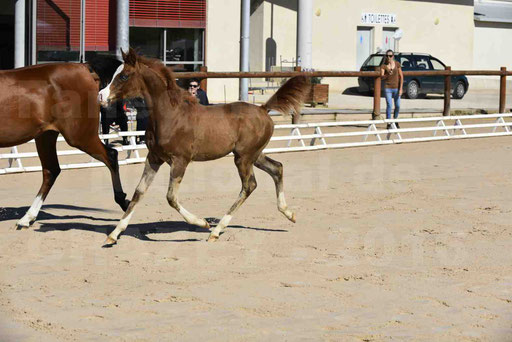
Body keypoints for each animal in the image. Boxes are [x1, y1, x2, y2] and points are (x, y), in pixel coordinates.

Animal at [0, 63, 128, 230]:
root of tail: (85, 69)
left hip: (79, 136)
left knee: (111, 155)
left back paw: (123, 201)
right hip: (46, 135)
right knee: (51, 171)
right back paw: (27, 218)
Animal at [99, 49, 308, 244]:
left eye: (124, 75)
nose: (101, 96)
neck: (170, 114)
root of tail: (263, 109)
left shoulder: (180, 160)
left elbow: (171, 197)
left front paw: (202, 223)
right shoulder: (154, 158)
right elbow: (139, 192)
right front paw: (113, 235)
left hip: (243, 158)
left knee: (249, 185)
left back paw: (216, 231)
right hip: (253, 155)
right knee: (277, 168)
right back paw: (288, 213)